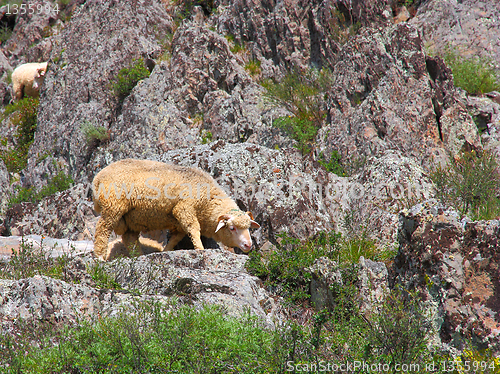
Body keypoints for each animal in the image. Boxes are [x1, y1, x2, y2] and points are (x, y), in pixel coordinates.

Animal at [92, 159, 262, 262]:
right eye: (232, 228)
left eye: (248, 227)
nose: (248, 245)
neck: (207, 201)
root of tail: (97, 178)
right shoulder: (184, 208)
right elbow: (194, 229)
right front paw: (200, 249)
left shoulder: (178, 223)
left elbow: (175, 238)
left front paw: (165, 251)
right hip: (113, 206)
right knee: (102, 229)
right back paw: (100, 257)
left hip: (130, 219)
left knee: (129, 239)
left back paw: (138, 257)